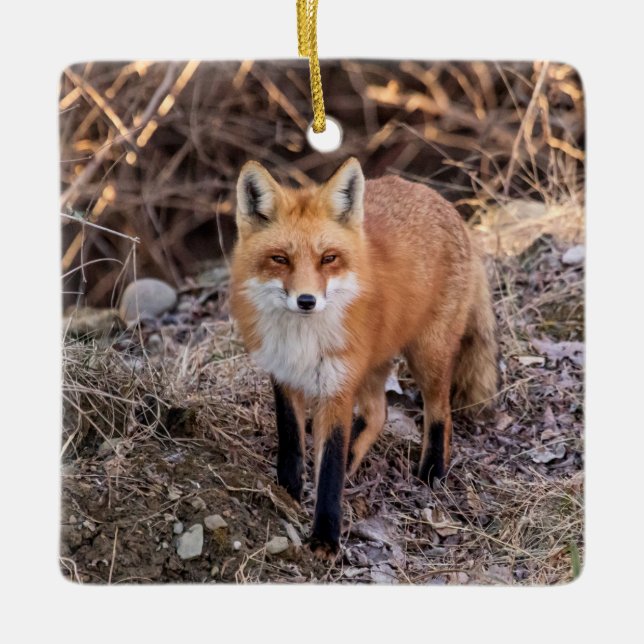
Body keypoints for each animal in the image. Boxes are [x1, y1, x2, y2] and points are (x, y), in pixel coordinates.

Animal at [229, 157, 498, 558]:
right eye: (280, 259)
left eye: (328, 259)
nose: (306, 301)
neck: (302, 339)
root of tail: (438, 199)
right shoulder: (283, 374)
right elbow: (292, 441)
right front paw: (288, 491)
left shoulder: (337, 387)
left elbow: (329, 468)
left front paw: (325, 538)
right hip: (372, 363)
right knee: (378, 413)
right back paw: (356, 458)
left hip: (427, 354)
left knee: (441, 412)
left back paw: (432, 472)